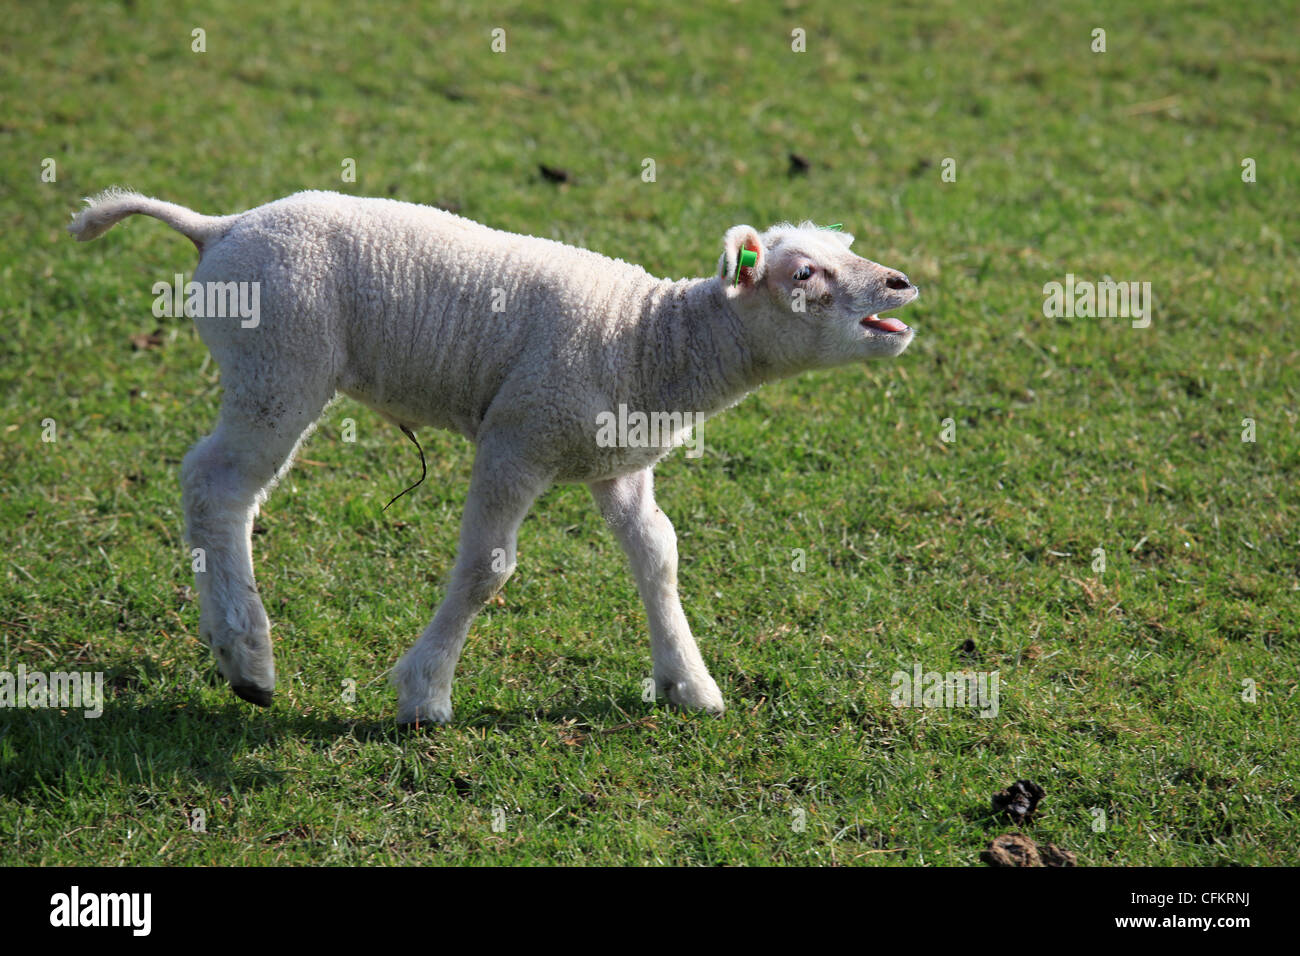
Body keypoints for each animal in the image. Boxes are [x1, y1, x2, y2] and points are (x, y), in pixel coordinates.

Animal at [69, 189, 919, 724]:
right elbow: (488, 570)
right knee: (216, 485)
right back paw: (247, 657)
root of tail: (218, 226)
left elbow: (659, 556)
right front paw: (424, 696)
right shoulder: (519, 437)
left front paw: (688, 683)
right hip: (278, 362)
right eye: (803, 273)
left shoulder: (618, 463)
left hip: (270, 366)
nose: (900, 283)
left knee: (216, 485)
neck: (653, 341)